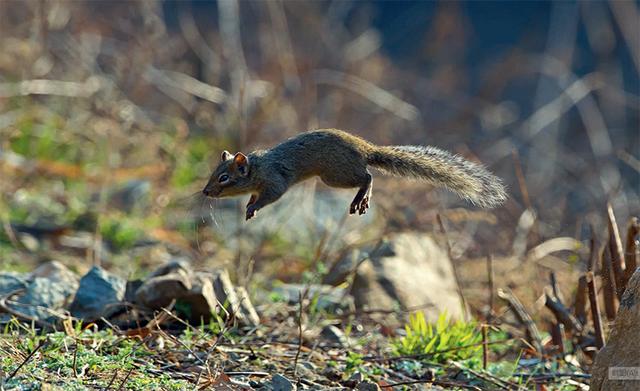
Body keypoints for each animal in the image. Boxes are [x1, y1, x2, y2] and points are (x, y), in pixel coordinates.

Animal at [202, 129, 508, 220]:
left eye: (224, 178)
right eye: (214, 173)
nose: (205, 192)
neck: (257, 167)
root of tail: (366, 149)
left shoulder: (275, 180)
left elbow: (271, 196)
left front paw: (253, 208)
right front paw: (249, 205)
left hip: (335, 175)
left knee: (368, 177)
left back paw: (362, 198)